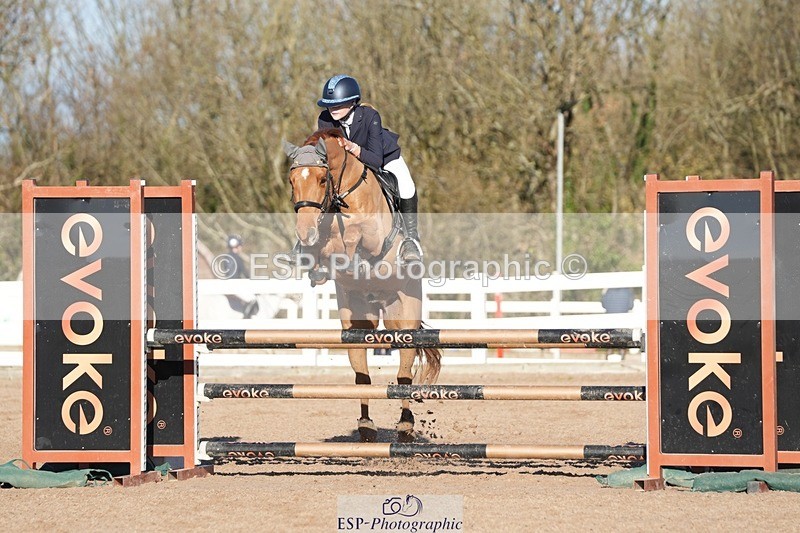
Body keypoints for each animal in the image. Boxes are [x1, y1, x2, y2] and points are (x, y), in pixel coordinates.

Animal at [283, 128, 441, 442]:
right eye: (293, 182)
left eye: (322, 179)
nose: (305, 233)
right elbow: (326, 247)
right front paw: (315, 262)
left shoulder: (373, 237)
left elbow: (354, 236)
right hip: (357, 324)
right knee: (362, 376)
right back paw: (366, 427)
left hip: (402, 319)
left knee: (404, 371)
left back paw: (405, 428)